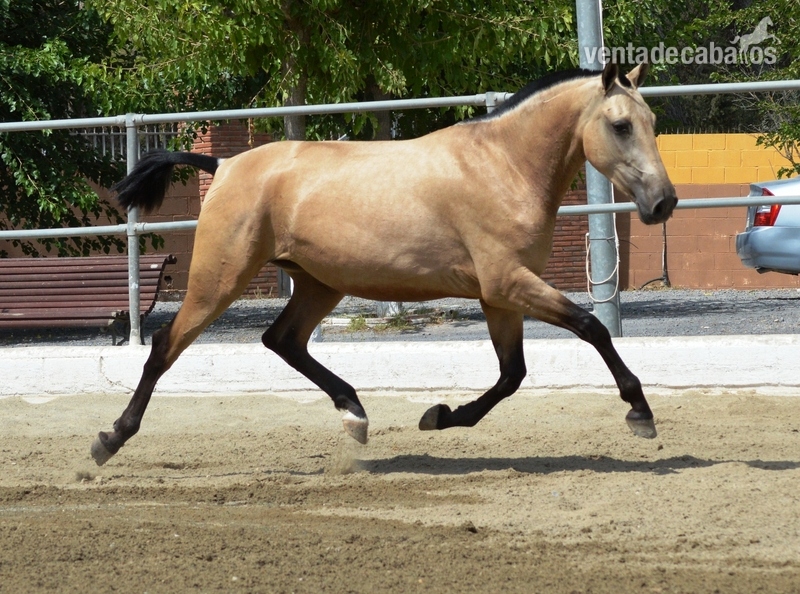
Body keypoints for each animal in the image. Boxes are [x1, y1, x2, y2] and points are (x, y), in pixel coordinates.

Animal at [91, 61, 677, 466]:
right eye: (621, 125)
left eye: (652, 119)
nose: (664, 202)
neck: (502, 166)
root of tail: (224, 164)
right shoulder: (509, 284)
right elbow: (591, 327)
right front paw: (640, 413)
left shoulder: (498, 296)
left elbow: (512, 374)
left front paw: (440, 417)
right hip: (220, 280)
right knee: (165, 346)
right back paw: (109, 439)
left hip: (319, 284)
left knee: (282, 340)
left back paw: (355, 414)